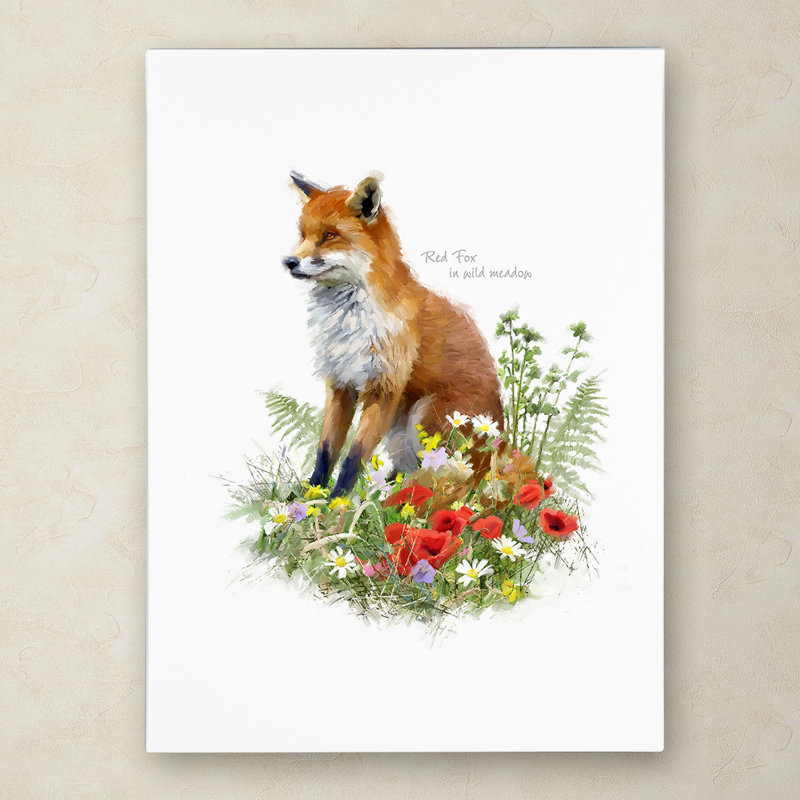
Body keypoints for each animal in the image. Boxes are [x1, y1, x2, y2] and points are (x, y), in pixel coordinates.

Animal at [283, 171, 504, 497]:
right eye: (302, 235)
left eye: (329, 235)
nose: (289, 262)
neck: (350, 322)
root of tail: (494, 456)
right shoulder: (340, 384)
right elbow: (326, 450)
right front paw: (308, 498)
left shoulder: (384, 387)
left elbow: (353, 458)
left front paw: (337, 506)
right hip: (400, 433)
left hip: (427, 417)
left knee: (445, 482)